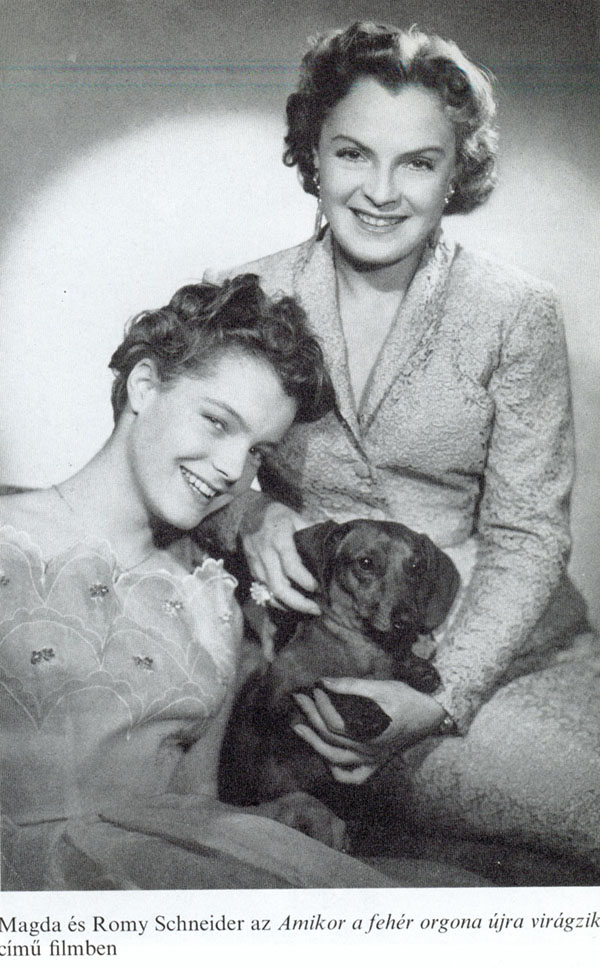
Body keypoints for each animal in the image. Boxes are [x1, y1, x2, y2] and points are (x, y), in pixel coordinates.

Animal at [218, 518, 459, 845]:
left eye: (416, 566)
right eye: (366, 563)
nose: (407, 622)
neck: (362, 650)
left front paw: (416, 669)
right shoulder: (273, 705)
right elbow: (318, 686)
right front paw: (366, 710)